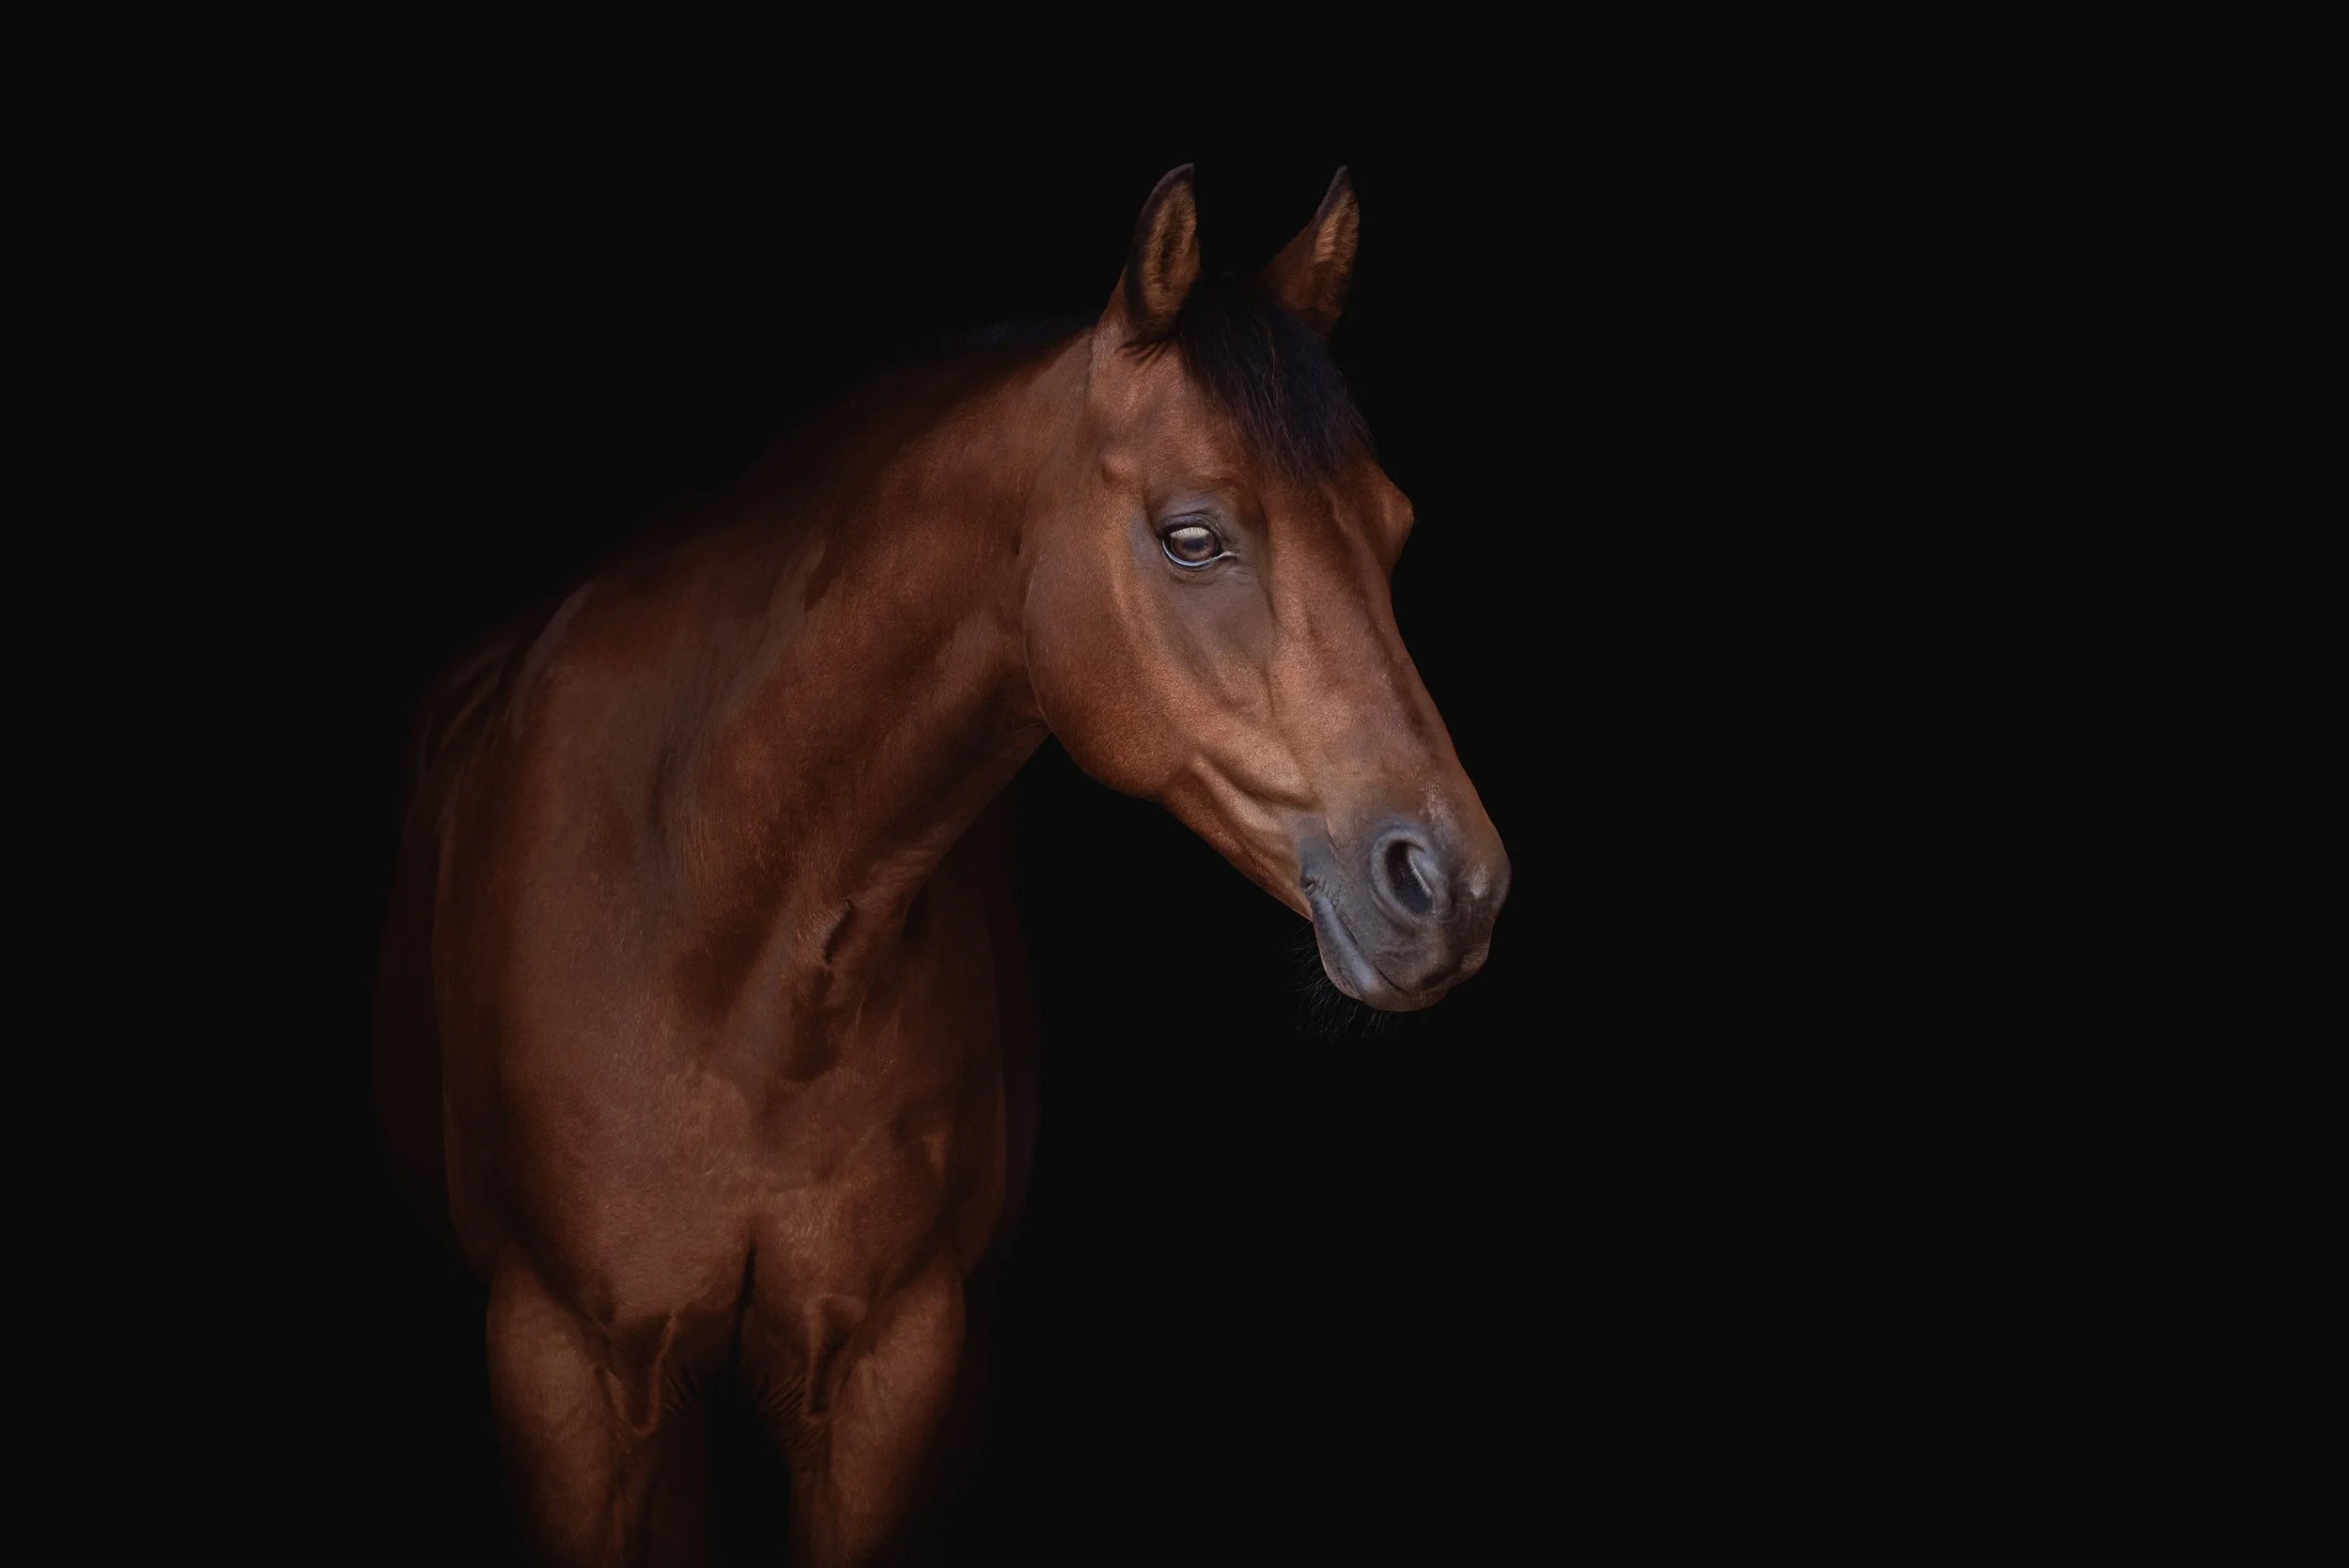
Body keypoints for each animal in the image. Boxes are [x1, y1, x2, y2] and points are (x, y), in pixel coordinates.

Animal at [373, 164, 1510, 1566]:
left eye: (1394, 531)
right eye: (1193, 537)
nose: (1450, 887)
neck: (719, 935)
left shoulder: (894, 1372)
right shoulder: (563, 1373)